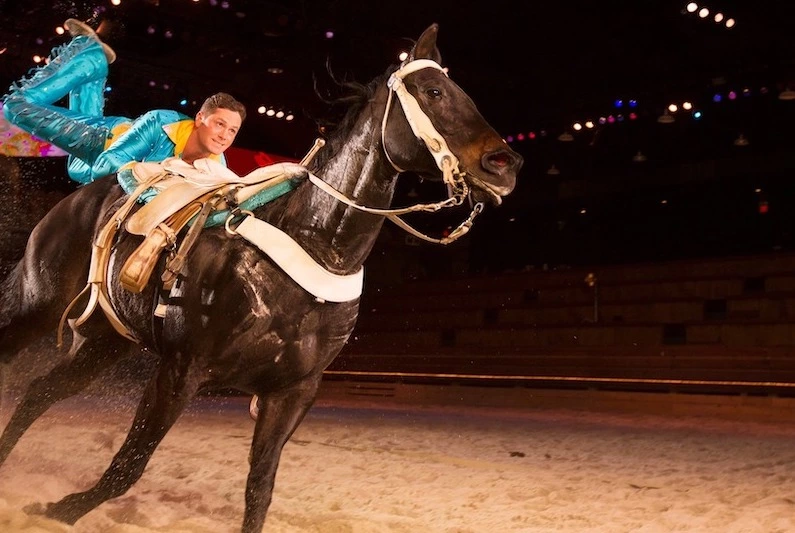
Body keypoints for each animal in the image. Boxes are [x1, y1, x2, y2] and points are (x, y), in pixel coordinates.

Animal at [0, 26, 524, 532]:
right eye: (434, 91)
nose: (504, 165)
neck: (312, 248)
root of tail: (86, 191)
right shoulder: (180, 370)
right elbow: (127, 467)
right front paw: (60, 509)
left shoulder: (292, 393)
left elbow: (260, 491)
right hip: (38, 303)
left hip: (108, 339)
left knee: (42, 390)